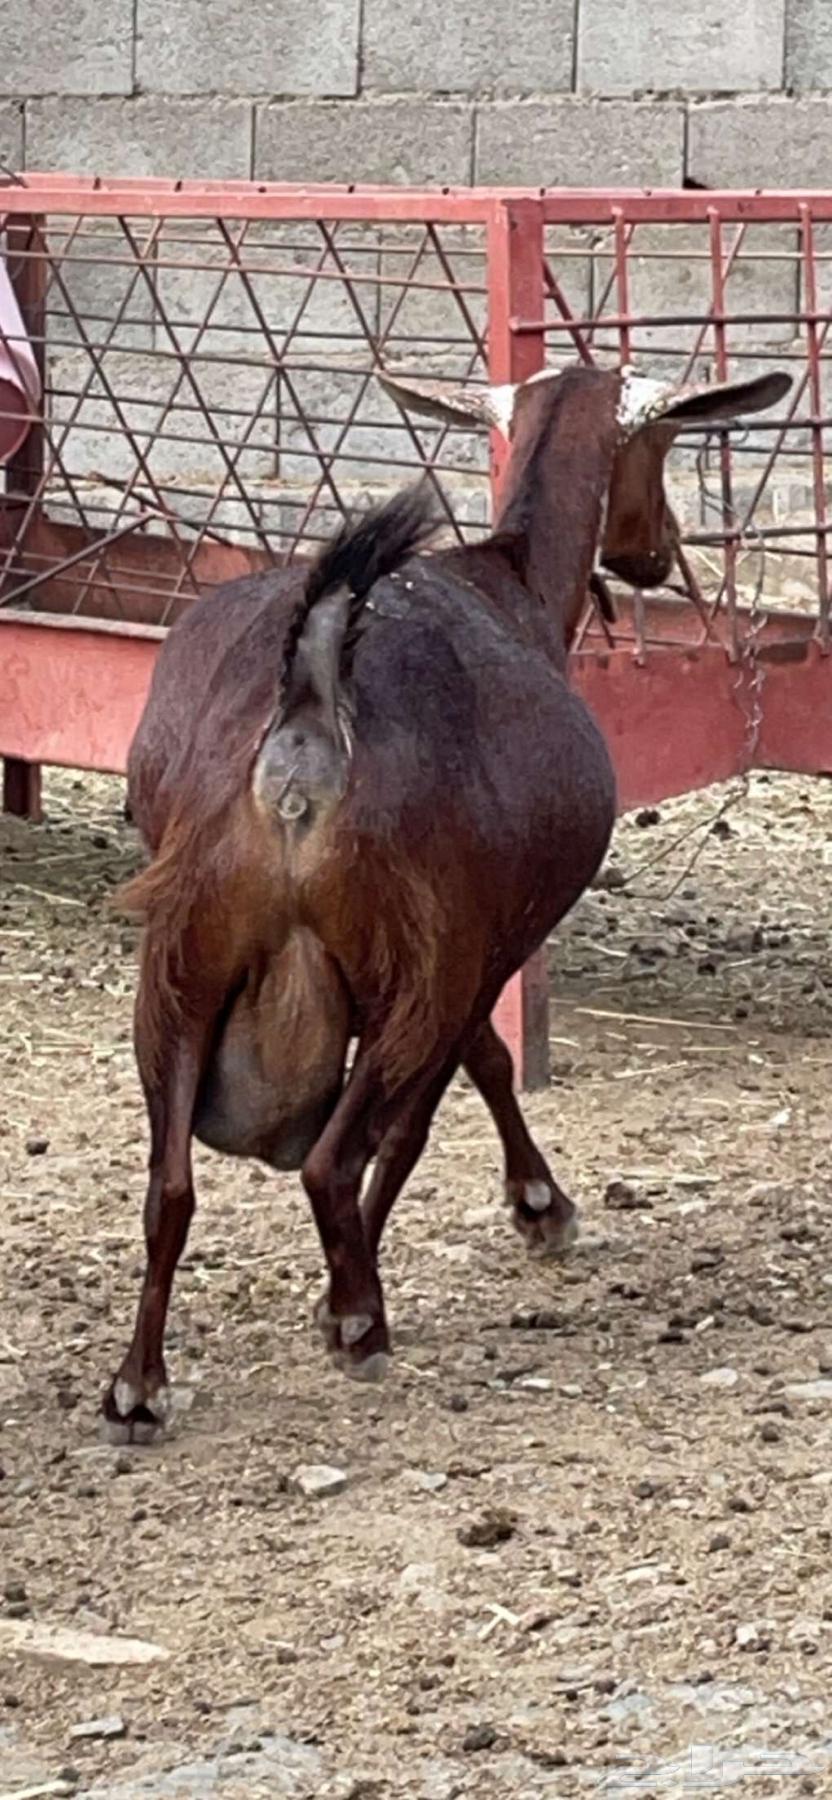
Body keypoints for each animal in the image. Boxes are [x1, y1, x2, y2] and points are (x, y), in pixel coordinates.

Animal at [103, 360, 790, 1440]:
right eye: (662, 444)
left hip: (180, 962)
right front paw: (530, 1210)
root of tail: (307, 725)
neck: (513, 577)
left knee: (169, 1184)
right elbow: (454, 1096)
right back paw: (360, 1323)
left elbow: (477, 1072)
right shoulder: (487, 945)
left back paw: (139, 1384)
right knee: (332, 1158)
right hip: (408, 971)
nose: (657, 552)